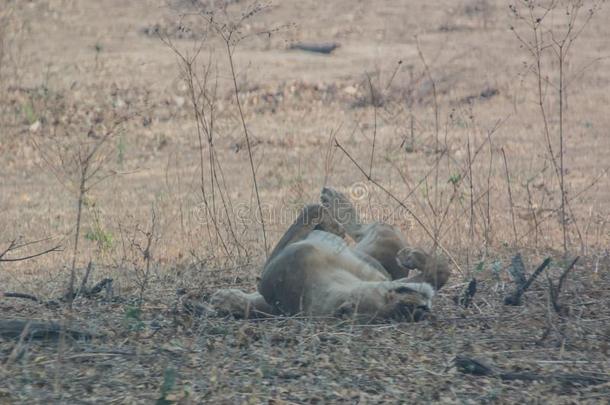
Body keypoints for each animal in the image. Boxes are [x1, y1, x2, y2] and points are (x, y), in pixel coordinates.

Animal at [211, 187, 448, 322]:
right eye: (399, 304)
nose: (422, 308)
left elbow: (310, 210)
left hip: (378, 239)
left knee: (362, 227)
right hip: (377, 241)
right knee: (362, 228)